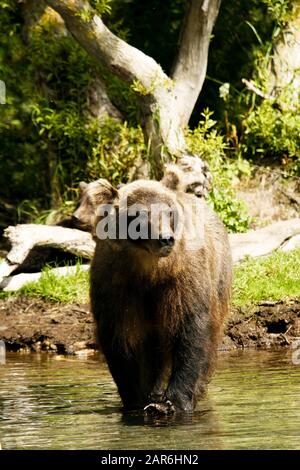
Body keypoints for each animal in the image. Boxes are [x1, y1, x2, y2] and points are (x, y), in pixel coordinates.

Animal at [89, 168, 232, 414]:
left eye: (168, 212)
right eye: (138, 215)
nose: (165, 239)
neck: (150, 270)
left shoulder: (183, 278)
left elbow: (191, 327)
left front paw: (174, 401)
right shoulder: (115, 283)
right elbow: (117, 337)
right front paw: (135, 397)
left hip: (218, 276)